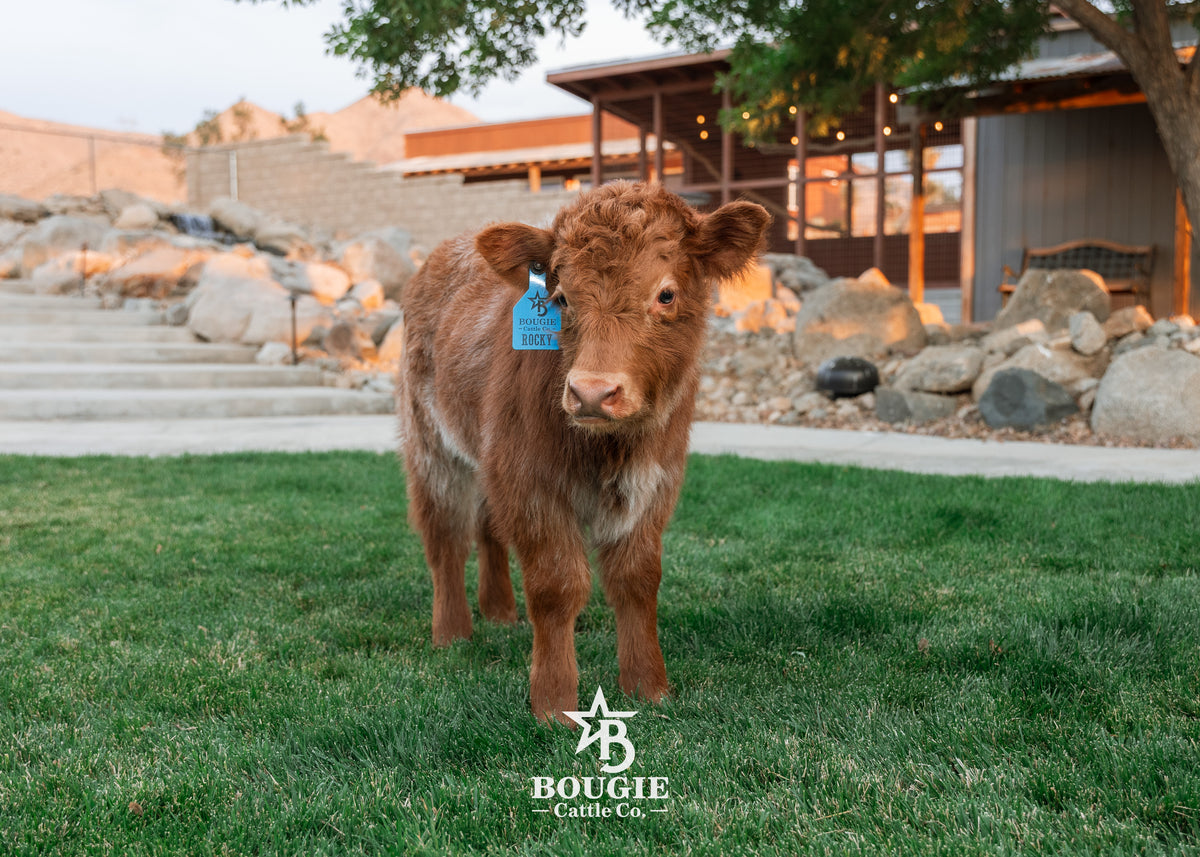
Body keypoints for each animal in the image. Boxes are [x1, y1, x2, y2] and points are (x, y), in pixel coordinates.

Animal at [398, 181, 770, 723]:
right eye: (560, 297)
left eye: (666, 293)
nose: (593, 392)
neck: (606, 450)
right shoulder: (530, 484)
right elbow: (557, 587)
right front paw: (553, 703)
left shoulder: (652, 484)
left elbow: (636, 580)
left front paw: (647, 687)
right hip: (433, 448)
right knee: (445, 535)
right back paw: (452, 633)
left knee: (487, 527)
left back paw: (501, 613)